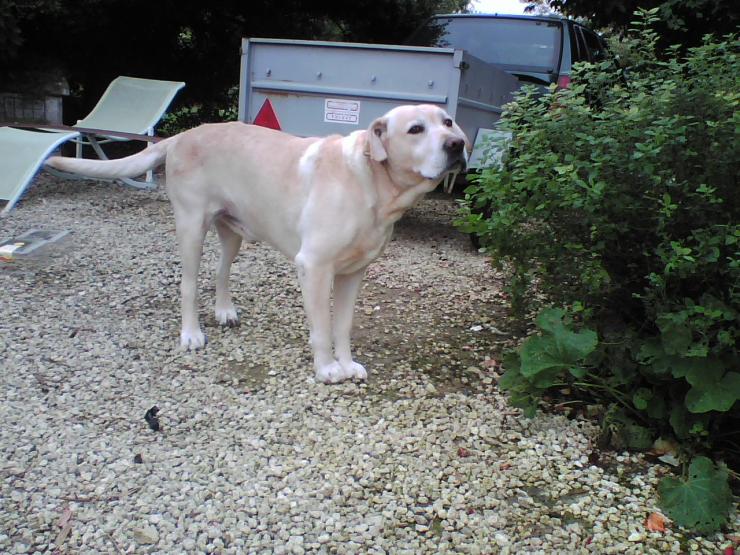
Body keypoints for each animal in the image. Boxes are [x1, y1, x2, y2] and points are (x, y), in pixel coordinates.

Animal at [46, 104, 470, 383]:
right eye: (416, 129)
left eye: (448, 121)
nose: (457, 144)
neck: (371, 181)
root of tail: (183, 134)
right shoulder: (314, 267)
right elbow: (321, 327)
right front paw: (327, 369)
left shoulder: (353, 274)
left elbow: (343, 326)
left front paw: (347, 363)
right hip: (191, 227)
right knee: (188, 284)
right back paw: (191, 334)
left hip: (232, 232)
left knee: (221, 272)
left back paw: (224, 311)